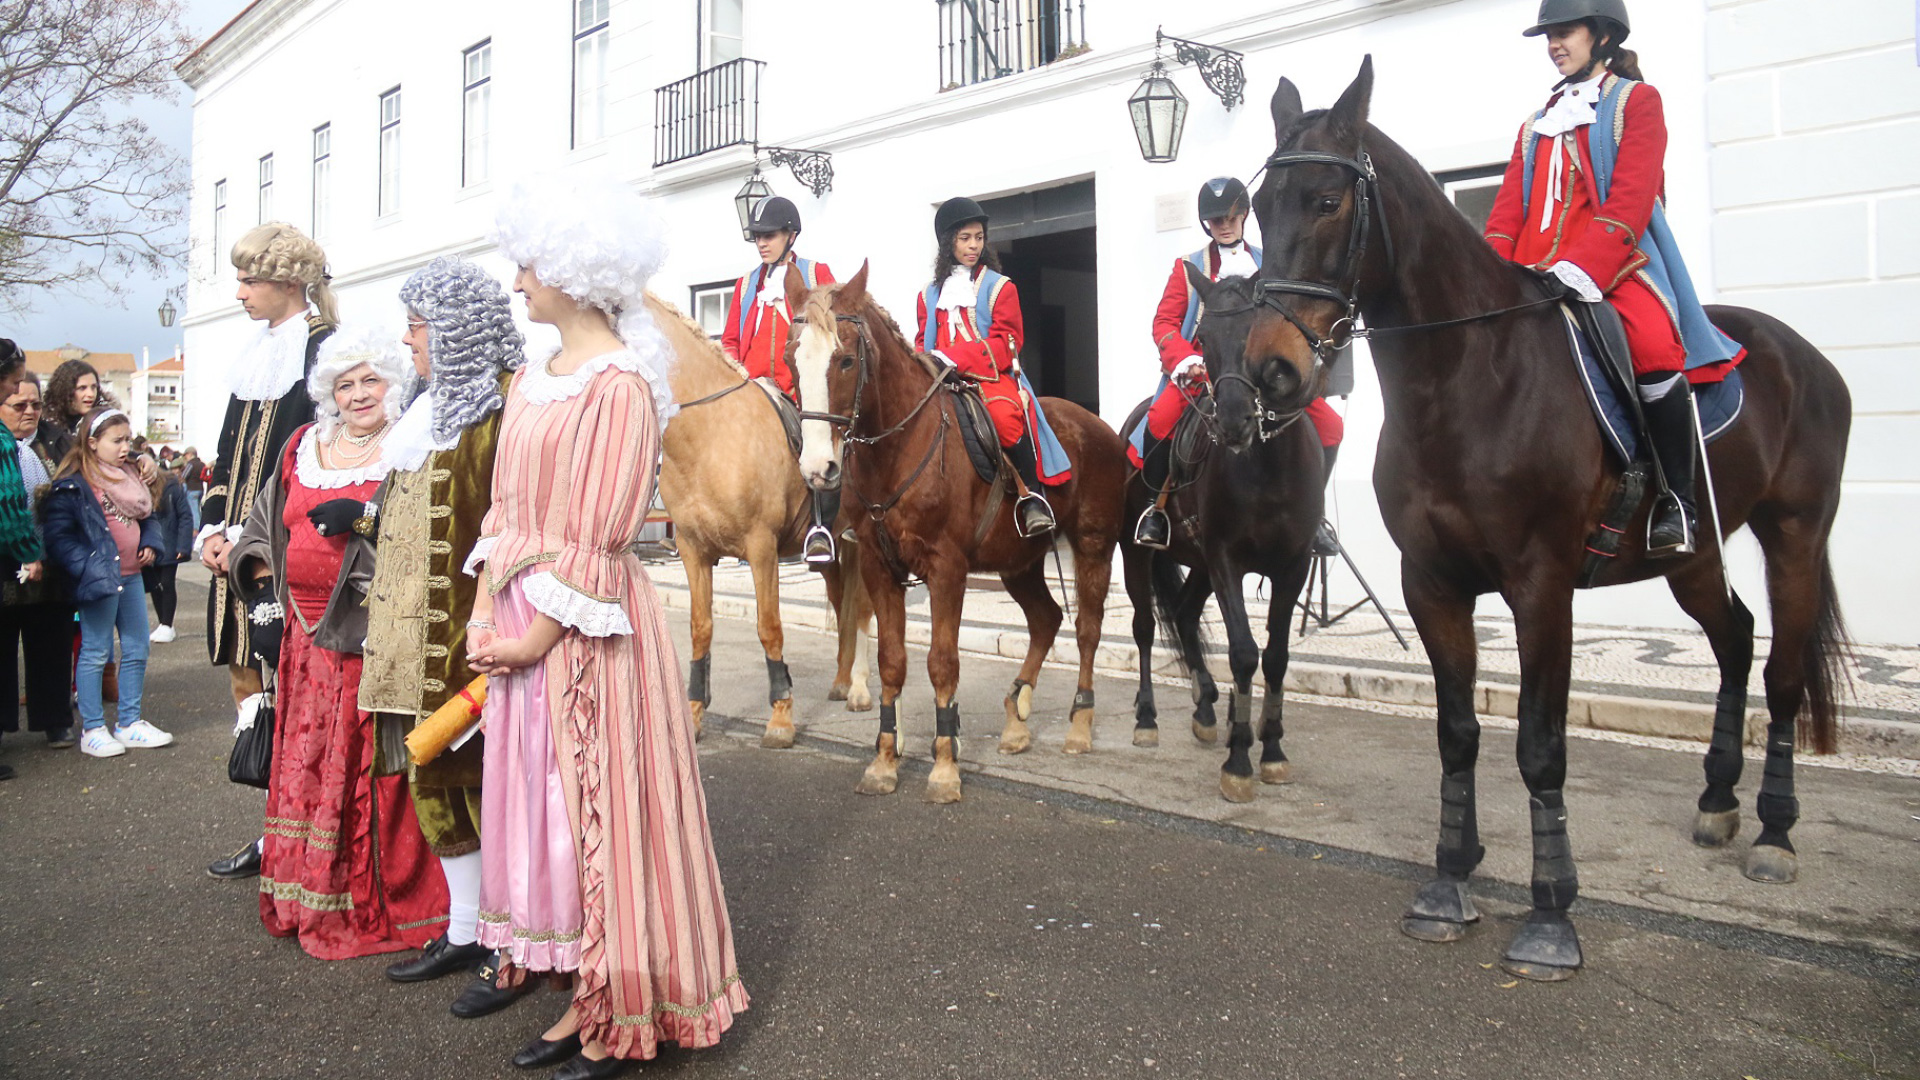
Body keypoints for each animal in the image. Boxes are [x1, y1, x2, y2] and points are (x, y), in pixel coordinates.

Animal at [652, 294, 879, 749]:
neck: (710, 435)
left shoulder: (761, 549)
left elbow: (769, 627)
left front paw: (780, 718)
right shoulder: (693, 551)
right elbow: (700, 628)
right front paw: (694, 713)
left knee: (862, 608)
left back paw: (860, 688)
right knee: (841, 602)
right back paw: (842, 680)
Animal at [787, 261, 1128, 799]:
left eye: (844, 361)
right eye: (792, 359)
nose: (818, 469)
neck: (900, 446)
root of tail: (1100, 427)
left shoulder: (946, 569)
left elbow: (942, 662)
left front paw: (945, 765)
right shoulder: (881, 567)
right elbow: (892, 660)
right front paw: (884, 761)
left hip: (1094, 547)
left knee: (1087, 630)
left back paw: (1078, 726)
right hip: (1018, 564)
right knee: (1046, 620)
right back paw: (1015, 721)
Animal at [1121, 267, 1328, 799]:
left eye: (1259, 332)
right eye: (1204, 340)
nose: (1233, 421)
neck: (1267, 466)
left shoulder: (1292, 566)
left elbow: (1275, 656)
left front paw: (1271, 749)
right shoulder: (1227, 560)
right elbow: (1243, 652)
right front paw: (1239, 760)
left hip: (1198, 564)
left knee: (1185, 614)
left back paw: (1206, 705)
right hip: (1137, 554)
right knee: (1146, 627)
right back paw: (1147, 718)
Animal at [1236, 61, 1850, 976]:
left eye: (1326, 201)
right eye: (1258, 206)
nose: (1270, 371)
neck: (1465, 378)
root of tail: (1801, 352)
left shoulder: (1540, 588)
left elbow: (1539, 744)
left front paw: (1551, 912)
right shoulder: (1433, 585)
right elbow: (1458, 732)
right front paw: (1450, 877)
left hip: (1795, 537)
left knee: (1779, 672)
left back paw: (1774, 833)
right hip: (1692, 555)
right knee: (1736, 639)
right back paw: (1716, 797)